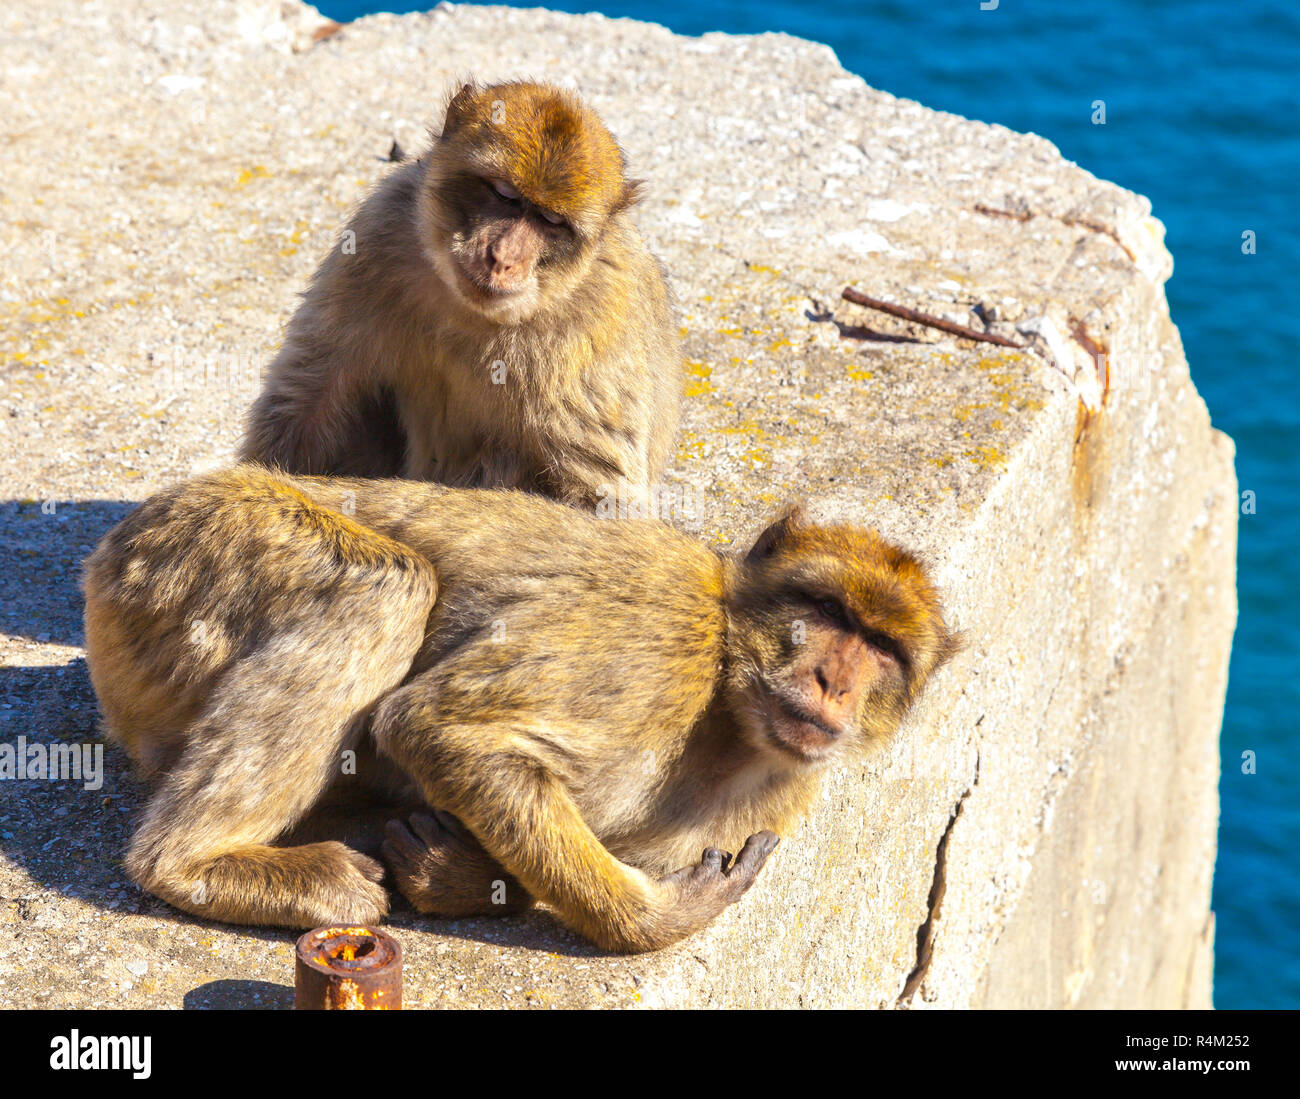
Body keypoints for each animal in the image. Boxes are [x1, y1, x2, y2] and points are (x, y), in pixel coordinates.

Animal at [78, 465, 956, 952]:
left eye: (882, 647)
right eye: (826, 609)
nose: (834, 678)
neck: (731, 715)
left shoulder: (781, 792)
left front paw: (454, 871)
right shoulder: (665, 642)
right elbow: (434, 724)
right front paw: (657, 920)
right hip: (189, 551)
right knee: (384, 586)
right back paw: (192, 864)